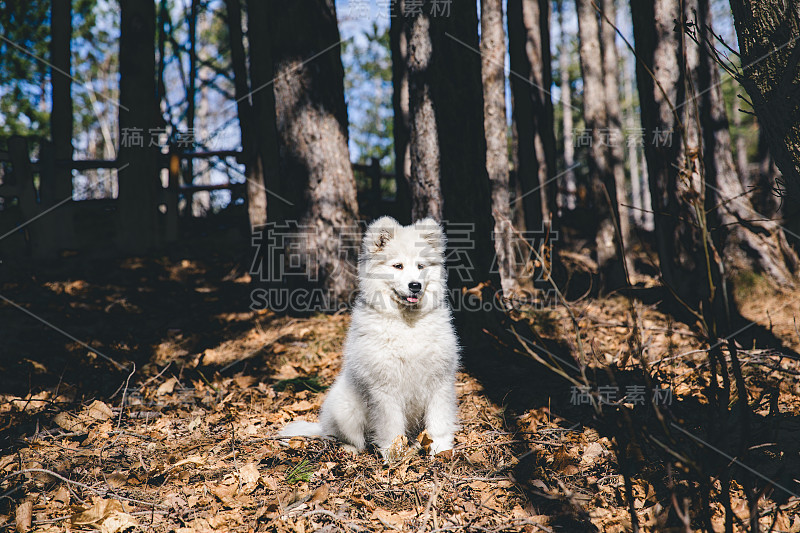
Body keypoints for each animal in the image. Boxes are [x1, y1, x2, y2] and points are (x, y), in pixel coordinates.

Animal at [282, 216, 460, 458]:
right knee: (344, 437)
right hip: (345, 411)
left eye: (421, 266)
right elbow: (391, 425)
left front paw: (441, 450)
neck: (407, 324)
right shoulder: (384, 388)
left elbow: (439, 419)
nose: (415, 285)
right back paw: (349, 449)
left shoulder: (439, 380)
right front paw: (394, 454)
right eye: (398, 266)